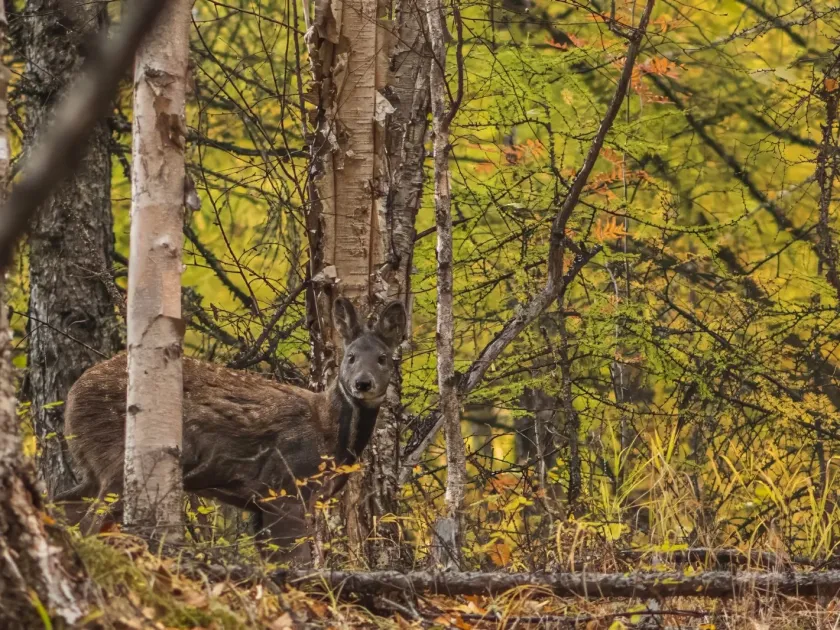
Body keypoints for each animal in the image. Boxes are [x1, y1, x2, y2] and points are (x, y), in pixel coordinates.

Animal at [54, 298, 407, 564]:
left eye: (383, 358)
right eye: (350, 357)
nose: (363, 383)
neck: (330, 433)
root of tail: (72, 396)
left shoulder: (262, 501)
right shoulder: (285, 486)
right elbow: (295, 562)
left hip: (94, 469)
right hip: (117, 459)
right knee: (90, 522)